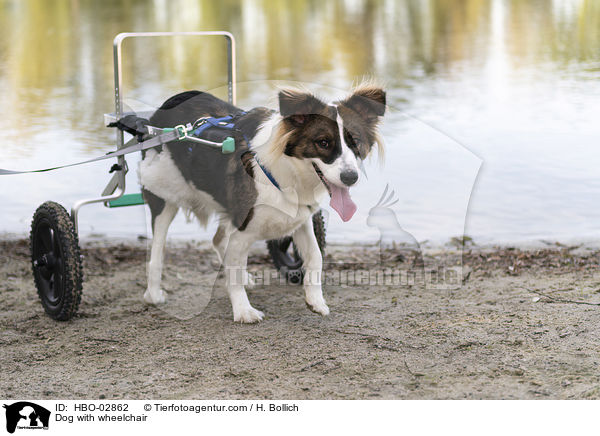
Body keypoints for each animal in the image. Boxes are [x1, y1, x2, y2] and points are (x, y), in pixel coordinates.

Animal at [139, 82, 386, 322]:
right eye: (323, 143)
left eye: (356, 142)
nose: (350, 177)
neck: (289, 171)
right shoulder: (243, 228)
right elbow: (235, 270)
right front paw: (243, 311)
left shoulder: (299, 218)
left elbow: (315, 256)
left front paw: (315, 300)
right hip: (164, 196)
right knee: (156, 254)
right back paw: (153, 295)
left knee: (218, 240)